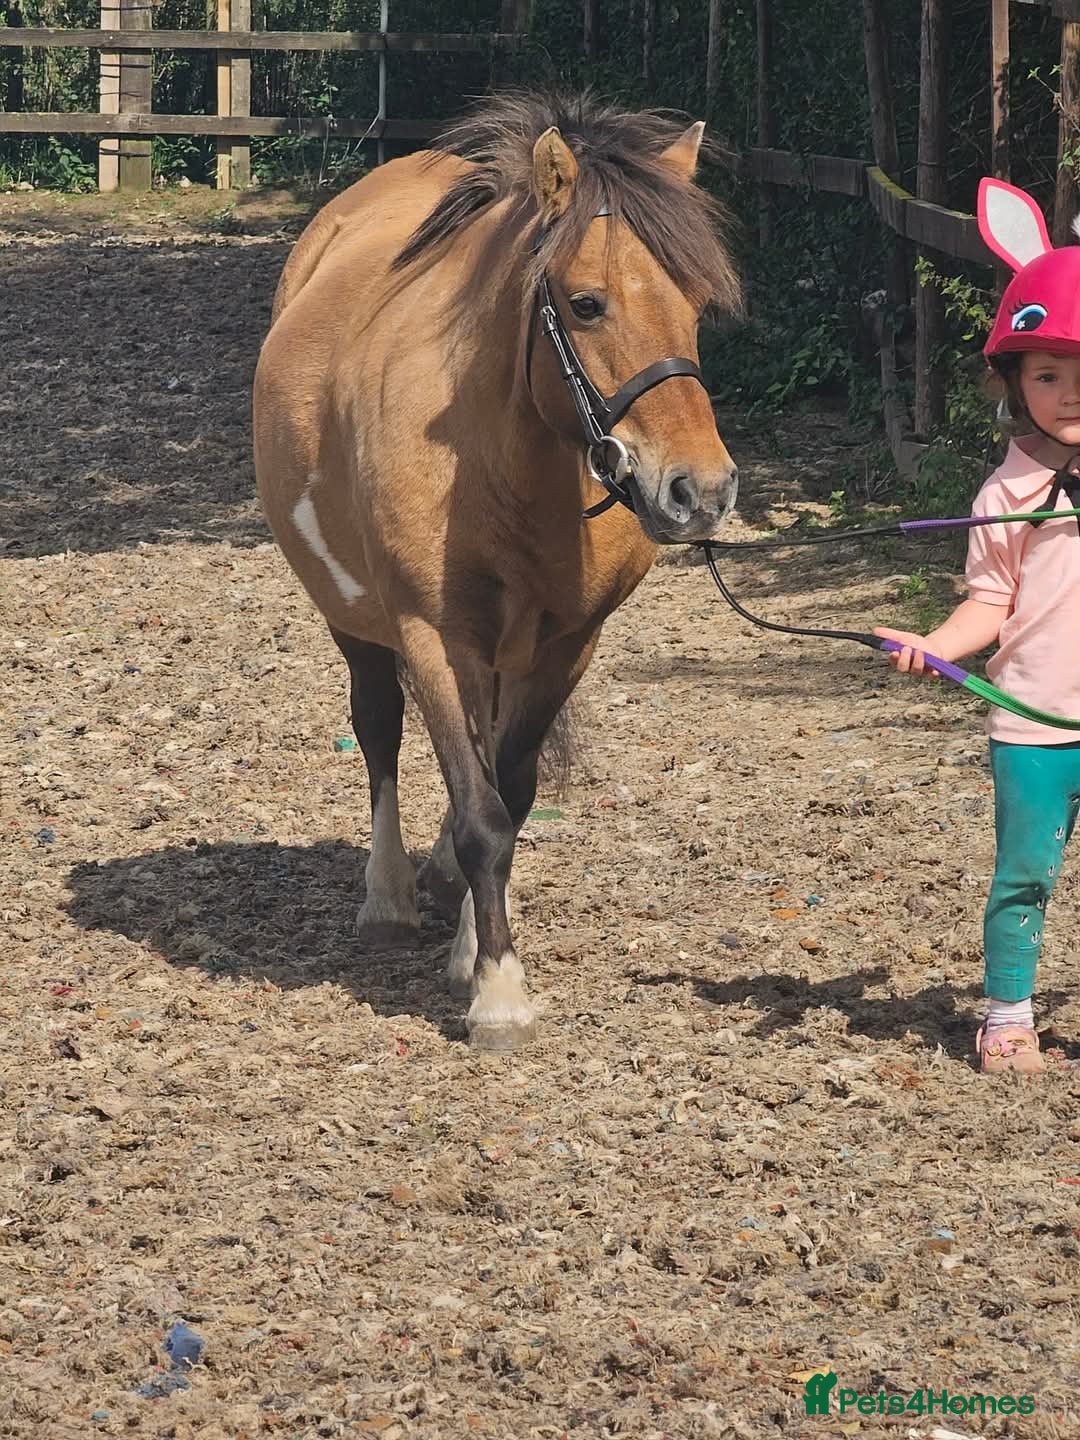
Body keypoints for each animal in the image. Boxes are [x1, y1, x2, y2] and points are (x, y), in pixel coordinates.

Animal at [253, 91, 741, 1052]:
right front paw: (500, 993)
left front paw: (477, 954)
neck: (500, 456)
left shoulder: (565, 645)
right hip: (355, 622)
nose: (700, 491)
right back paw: (391, 896)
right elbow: (480, 812)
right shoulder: (432, 637)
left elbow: (506, 796)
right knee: (380, 732)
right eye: (586, 304)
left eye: (697, 303)